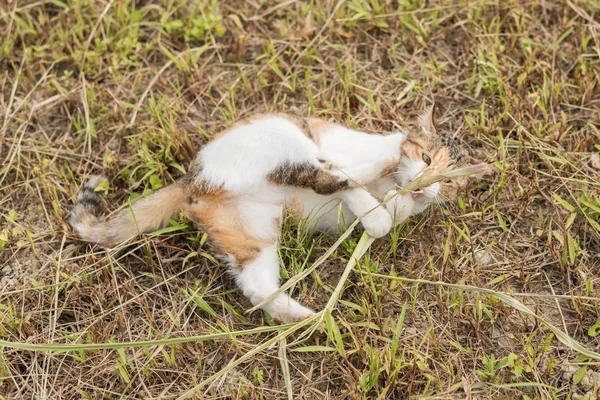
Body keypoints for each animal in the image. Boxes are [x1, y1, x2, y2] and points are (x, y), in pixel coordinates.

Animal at [69, 104, 478, 324]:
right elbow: (360, 194)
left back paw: (305, 319)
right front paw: (378, 208)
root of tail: (193, 179)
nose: (426, 181)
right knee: (324, 175)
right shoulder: (340, 150)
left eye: (450, 181)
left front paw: (398, 203)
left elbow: (397, 208)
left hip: (254, 233)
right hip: (283, 136)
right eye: (426, 157)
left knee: (257, 287)